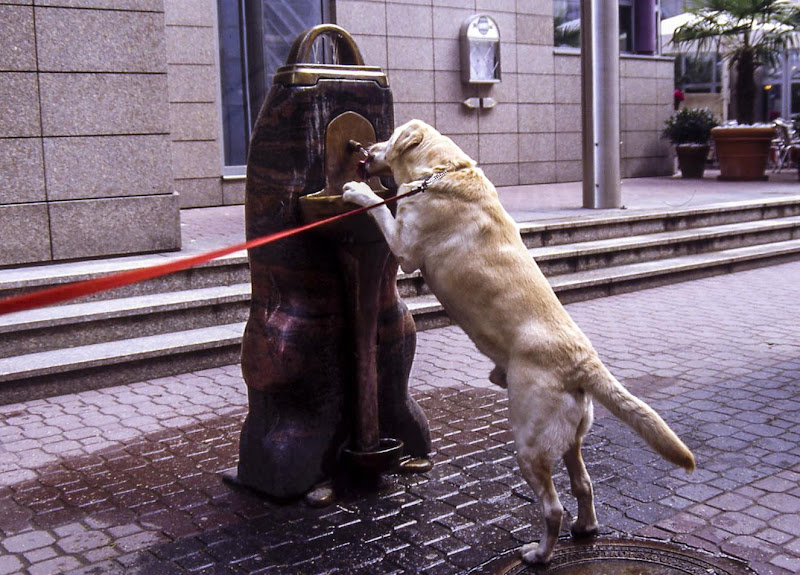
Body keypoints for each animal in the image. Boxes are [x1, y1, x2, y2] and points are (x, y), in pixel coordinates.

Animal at [340, 119, 692, 564]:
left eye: (388, 137)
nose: (366, 148)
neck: (442, 171)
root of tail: (584, 363)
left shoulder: (403, 247)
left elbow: (380, 208)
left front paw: (357, 190)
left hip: (528, 443)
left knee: (553, 507)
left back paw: (539, 554)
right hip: (570, 437)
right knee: (583, 484)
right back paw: (585, 528)